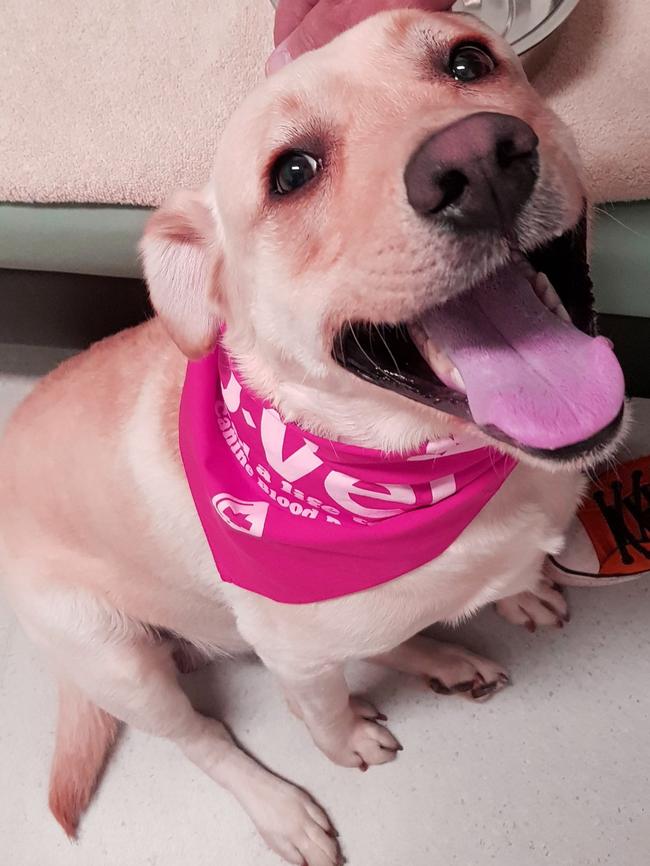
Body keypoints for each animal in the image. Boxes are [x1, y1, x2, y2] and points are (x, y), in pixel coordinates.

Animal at [1, 8, 628, 864]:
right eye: (292, 173)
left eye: (468, 62)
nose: (478, 160)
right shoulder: (292, 648)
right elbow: (320, 711)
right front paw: (344, 744)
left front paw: (522, 589)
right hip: (114, 656)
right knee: (205, 736)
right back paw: (281, 807)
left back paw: (449, 655)